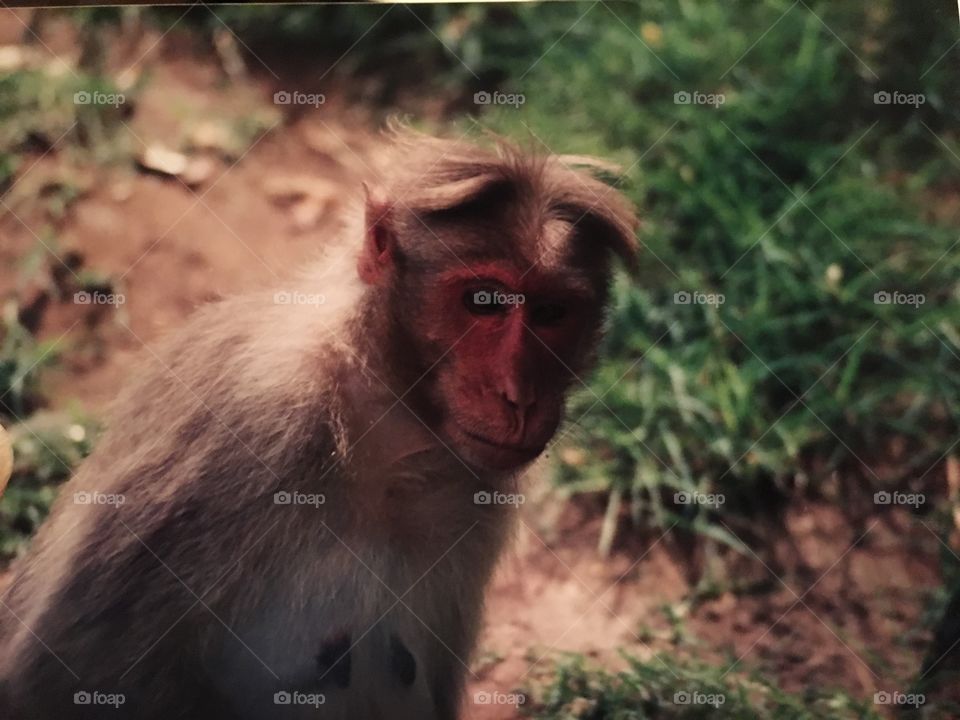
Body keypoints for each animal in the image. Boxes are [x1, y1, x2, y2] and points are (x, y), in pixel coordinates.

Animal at [0, 129, 638, 719]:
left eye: (552, 313)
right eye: (483, 302)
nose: (520, 397)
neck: (379, 419)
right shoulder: (247, 414)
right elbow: (63, 681)